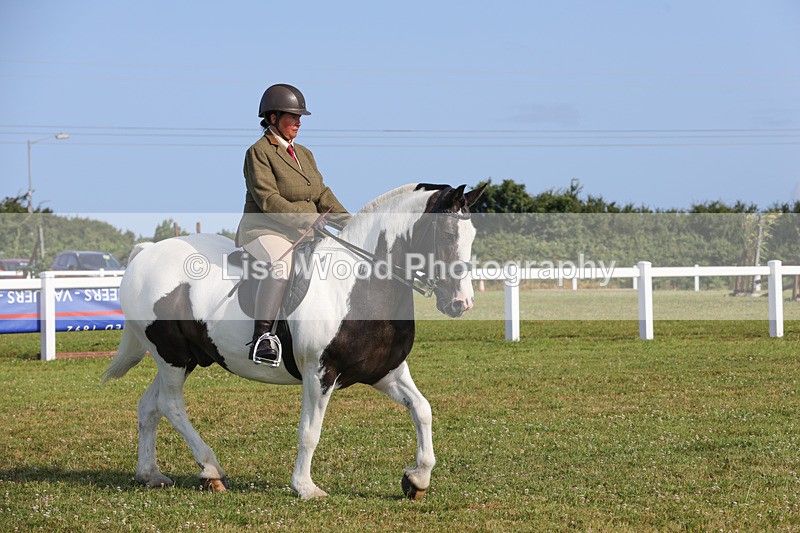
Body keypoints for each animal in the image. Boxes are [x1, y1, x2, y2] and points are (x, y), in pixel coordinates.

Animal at [102, 182, 485, 500]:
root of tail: (146, 254)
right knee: (170, 405)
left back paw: (150, 474)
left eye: (472, 235)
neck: (360, 284)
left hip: (184, 357)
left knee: (149, 405)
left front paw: (417, 479)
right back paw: (210, 470)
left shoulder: (385, 371)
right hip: (172, 356)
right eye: (447, 234)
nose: (461, 303)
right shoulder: (320, 373)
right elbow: (310, 431)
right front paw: (305, 487)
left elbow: (422, 409)